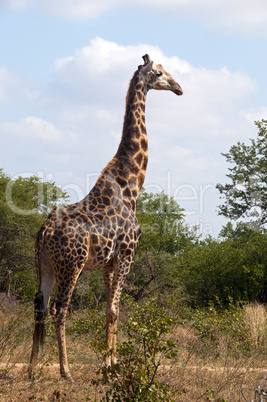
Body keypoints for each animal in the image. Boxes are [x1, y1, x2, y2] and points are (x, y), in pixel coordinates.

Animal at [29, 54, 184, 380]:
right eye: (159, 73)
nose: (179, 88)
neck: (131, 187)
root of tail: (45, 232)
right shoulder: (127, 254)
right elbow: (115, 309)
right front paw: (110, 366)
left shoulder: (107, 263)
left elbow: (109, 311)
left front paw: (109, 363)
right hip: (71, 264)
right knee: (60, 308)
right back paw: (65, 370)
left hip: (44, 264)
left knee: (40, 305)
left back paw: (33, 369)